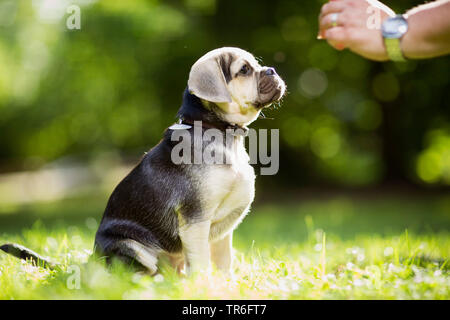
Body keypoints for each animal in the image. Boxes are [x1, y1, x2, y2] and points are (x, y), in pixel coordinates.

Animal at [0, 47, 286, 276]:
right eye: (244, 70)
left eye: (258, 65)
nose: (272, 70)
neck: (220, 133)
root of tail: (93, 261)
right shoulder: (195, 221)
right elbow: (201, 263)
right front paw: (204, 286)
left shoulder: (223, 232)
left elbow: (224, 262)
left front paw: (226, 285)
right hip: (131, 246)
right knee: (131, 275)